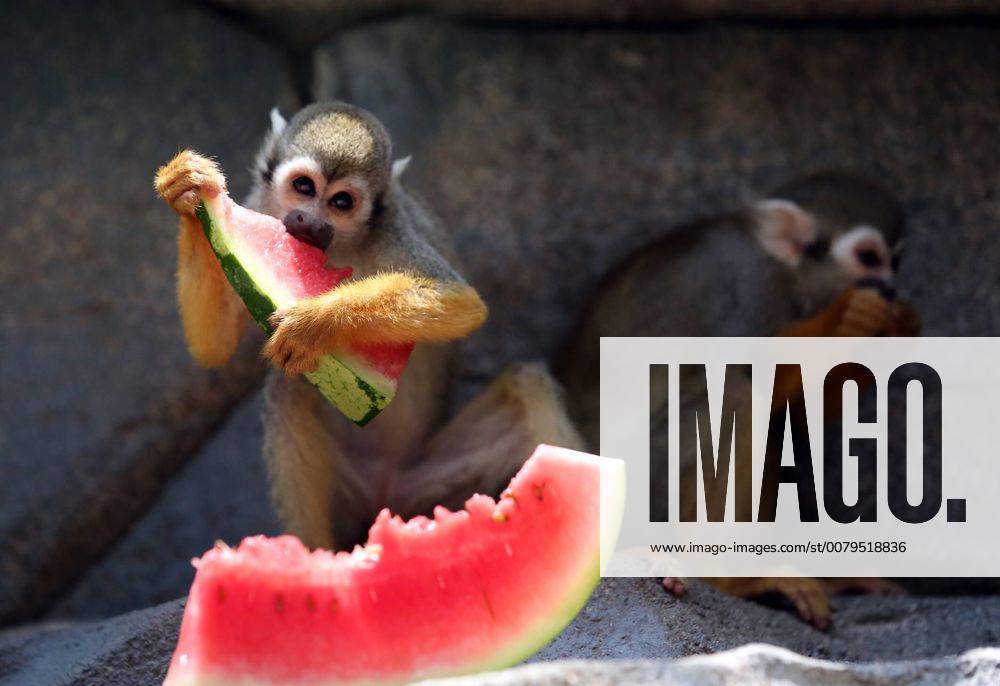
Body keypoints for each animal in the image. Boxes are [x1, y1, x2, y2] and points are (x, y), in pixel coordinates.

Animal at [155, 102, 583, 550]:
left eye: (341, 202)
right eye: (303, 187)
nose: (309, 222)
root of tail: (386, 490)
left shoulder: (391, 228)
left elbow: (461, 302)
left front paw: (315, 323)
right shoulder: (259, 205)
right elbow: (213, 348)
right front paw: (186, 194)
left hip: (436, 485)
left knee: (528, 383)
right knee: (288, 392)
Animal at [558, 171, 920, 628]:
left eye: (896, 261)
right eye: (869, 258)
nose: (889, 287)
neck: (787, 272)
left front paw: (893, 329)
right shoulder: (749, 286)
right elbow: (749, 375)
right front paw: (852, 317)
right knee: (736, 400)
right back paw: (730, 579)